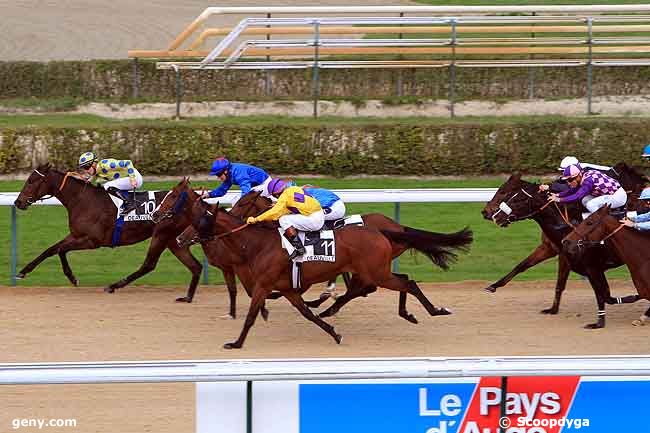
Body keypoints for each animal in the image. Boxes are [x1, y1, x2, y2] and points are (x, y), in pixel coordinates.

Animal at [12, 163, 200, 300]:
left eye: (31, 180)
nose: (18, 202)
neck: (82, 200)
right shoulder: (76, 235)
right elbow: (53, 249)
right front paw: (26, 271)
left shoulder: (92, 241)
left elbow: (59, 249)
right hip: (173, 239)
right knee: (195, 266)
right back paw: (188, 297)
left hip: (162, 235)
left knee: (149, 264)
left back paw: (113, 286)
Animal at [478, 162, 644, 314]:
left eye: (506, 194)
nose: (490, 214)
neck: (567, 223)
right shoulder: (549, 248)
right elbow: (522, 266)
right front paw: (493, 286)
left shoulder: (569, 256)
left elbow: (563, 283)